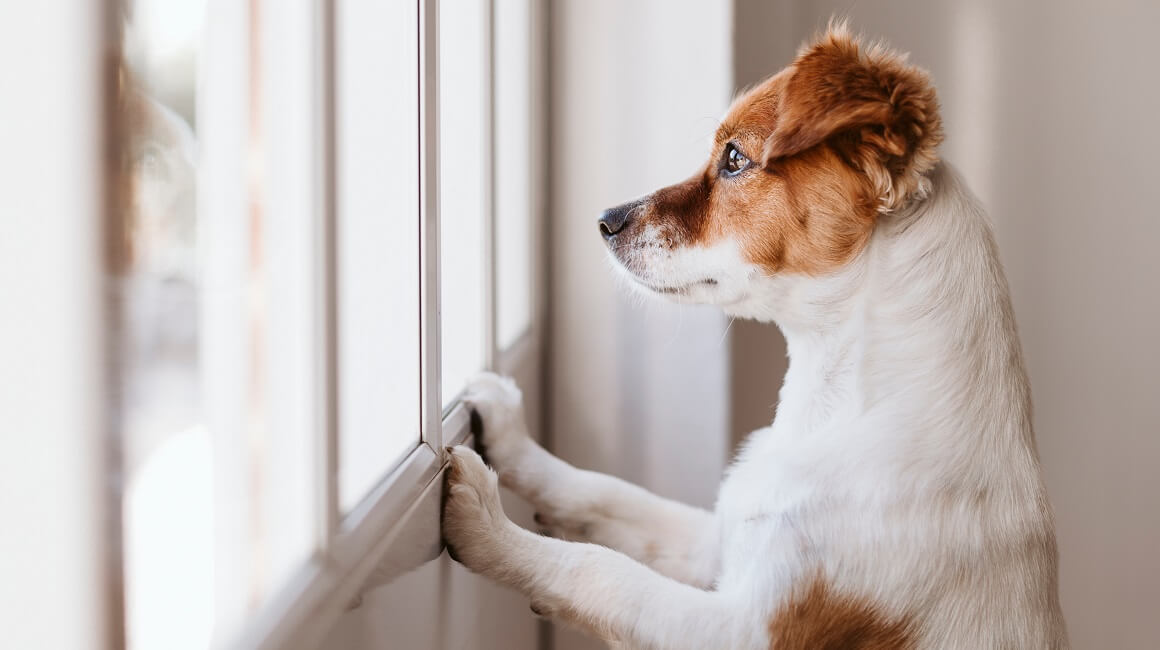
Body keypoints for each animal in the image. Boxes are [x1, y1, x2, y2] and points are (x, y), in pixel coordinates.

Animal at [440, 22, 1067, 645]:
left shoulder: (746, 627)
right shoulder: (718, 543)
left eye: (736, 158)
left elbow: (601, 571)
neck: (834, 407)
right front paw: (510, 436)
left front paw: (488, 525)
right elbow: (605, 492)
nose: (604, 221)